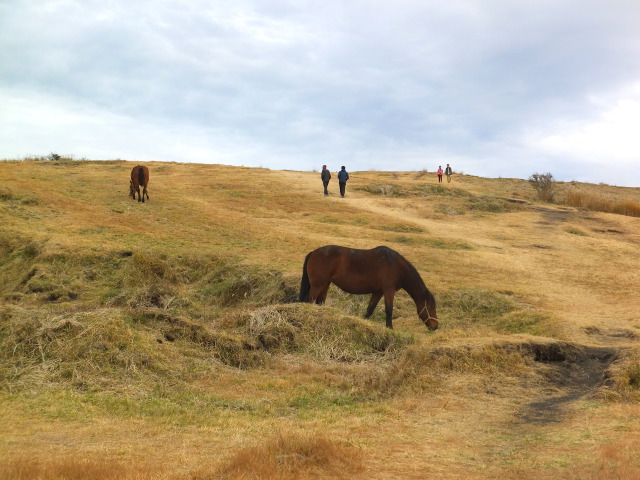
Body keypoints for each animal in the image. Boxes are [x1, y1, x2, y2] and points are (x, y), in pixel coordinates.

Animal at [298, 246, 438, 328]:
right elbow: (389, 310)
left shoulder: (378, 292)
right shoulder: (388, 291)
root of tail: (314, 252)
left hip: (325, 284)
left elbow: (370, 309)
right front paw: (389, 327)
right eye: (431, 307)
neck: (396, 266)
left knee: (319, 302)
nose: (435, 326)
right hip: (317, 285)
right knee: (308, 301)